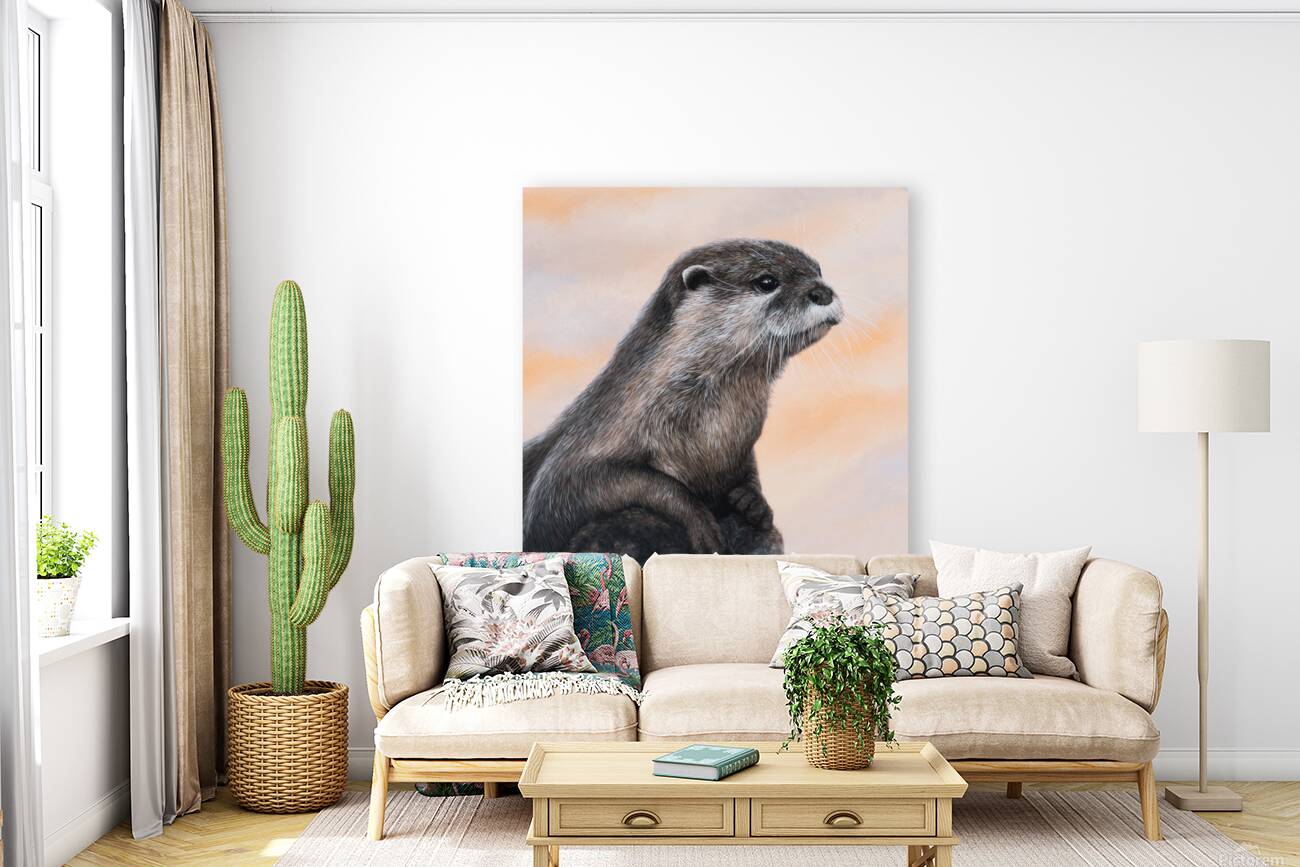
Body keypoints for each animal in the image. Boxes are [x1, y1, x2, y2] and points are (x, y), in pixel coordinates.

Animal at [523, 239, 842, 564]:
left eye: (817, 270)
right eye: (767, 282)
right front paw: (698, 519)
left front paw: (753, 501)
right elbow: (618, 483)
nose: (823, 292)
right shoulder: (577, 462)